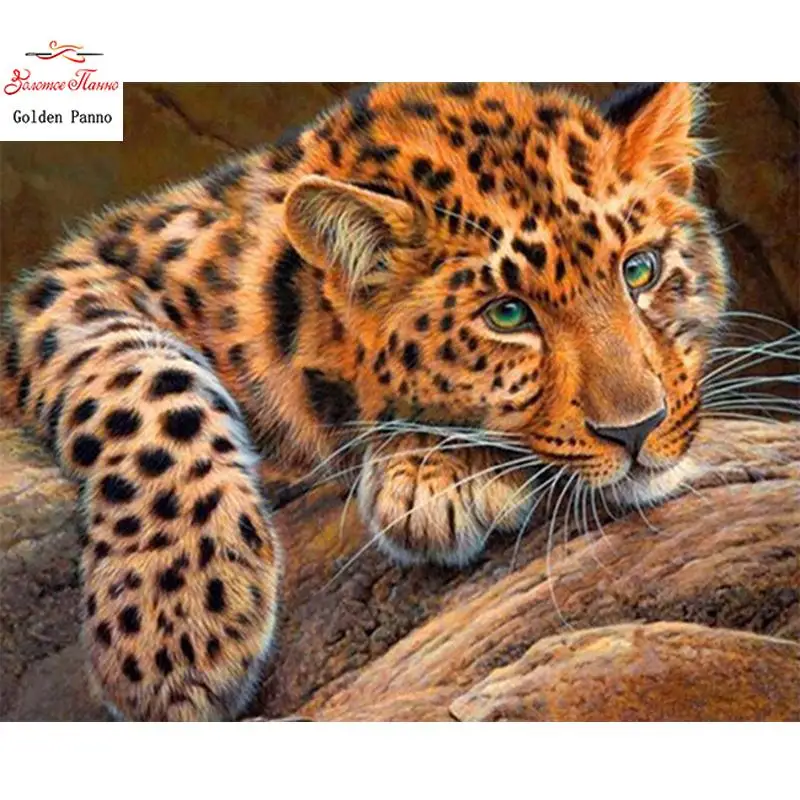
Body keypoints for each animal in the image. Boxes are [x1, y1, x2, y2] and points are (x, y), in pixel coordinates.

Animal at [0, 82, 729, 721]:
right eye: (507, 314)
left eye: (640, 270)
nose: (639, 428)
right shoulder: (76, 280)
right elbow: (145, 378)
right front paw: (175, 619)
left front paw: (435, 471)